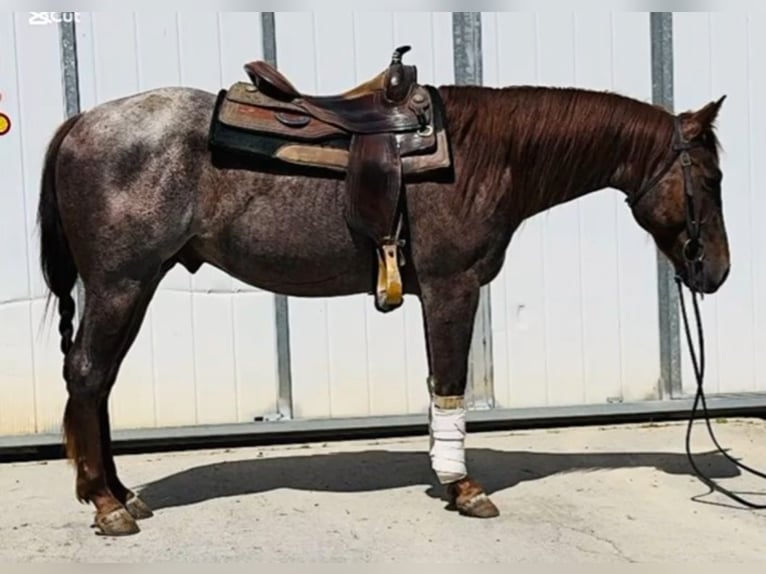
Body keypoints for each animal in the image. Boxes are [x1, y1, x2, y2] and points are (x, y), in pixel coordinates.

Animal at [37, 73, 730, 535]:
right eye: (712, 178)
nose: (716, 271)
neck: (482, 156)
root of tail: (80, 123)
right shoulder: (453, 286)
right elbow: (448, 383)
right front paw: (463, 487)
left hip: (138, 282)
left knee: (99, 382)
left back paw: (120, 493)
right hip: (120, 283)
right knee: (88, 374)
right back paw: (105, 503)